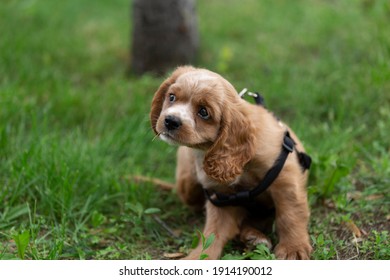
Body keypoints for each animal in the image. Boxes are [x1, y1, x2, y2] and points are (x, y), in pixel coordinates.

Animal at [151, 66, 312, 260]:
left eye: (203, 112)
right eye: (172, 97)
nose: (170, 121)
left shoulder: (285, 178)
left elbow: (290, 213)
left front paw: (293, 248)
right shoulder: (220, 196)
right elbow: (212, 234)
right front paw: (197, 257)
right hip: (187, 183)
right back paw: (253, 237)